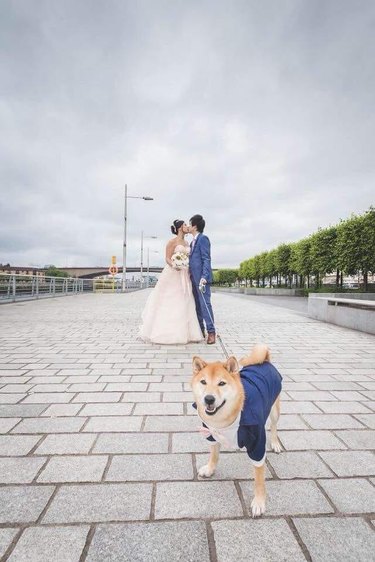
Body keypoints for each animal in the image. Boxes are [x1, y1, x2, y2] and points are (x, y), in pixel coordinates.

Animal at [191, 342, 282, 516]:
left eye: (221, 383)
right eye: (203, 382)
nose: (209, 399)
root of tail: (265, 360)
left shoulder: (257, 444)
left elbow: (259, 478)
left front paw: (259, 502)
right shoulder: (211, 433)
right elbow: (214, 455)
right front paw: (210, 469)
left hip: (274, 410)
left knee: (274, 427)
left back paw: (275, 444)